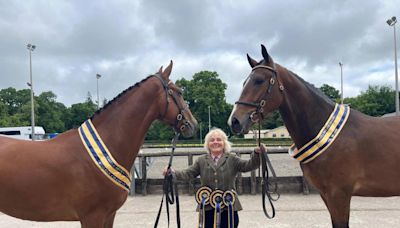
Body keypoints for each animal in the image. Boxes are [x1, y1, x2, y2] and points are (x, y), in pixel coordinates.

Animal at [230, 45, 400, 228]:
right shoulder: (326, 194)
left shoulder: (339, 195)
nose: (234, 121)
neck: (328, 136)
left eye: (259, 80)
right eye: (244, 82)